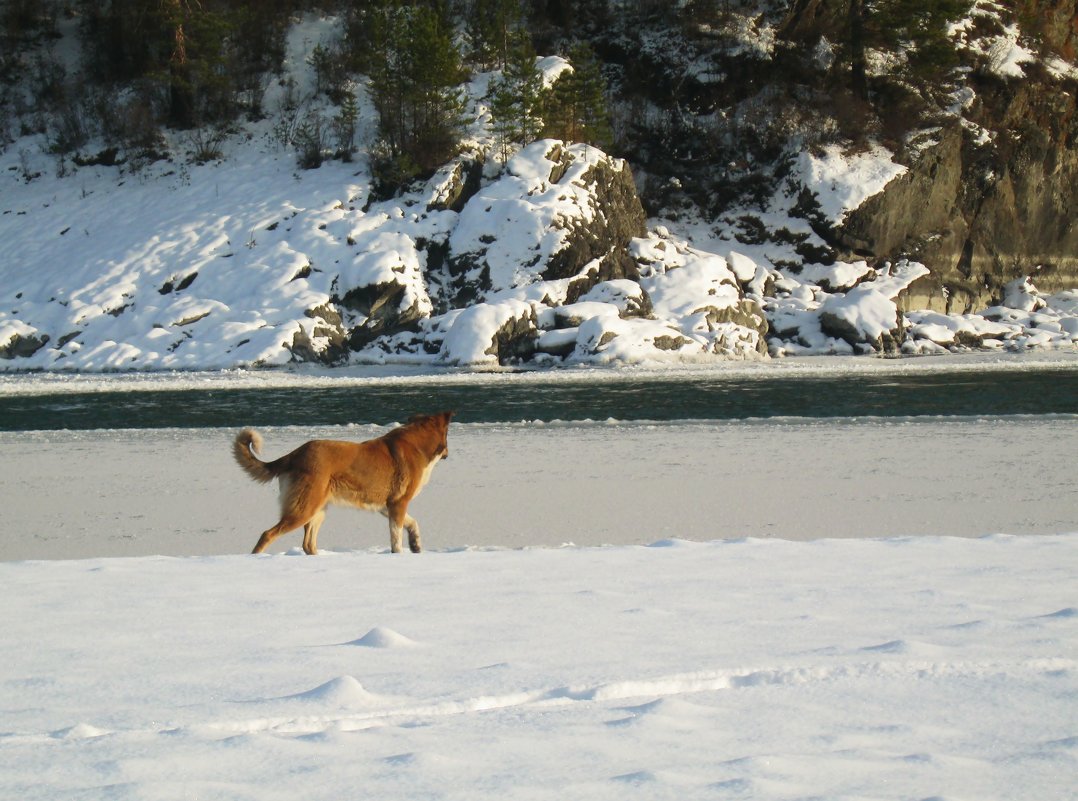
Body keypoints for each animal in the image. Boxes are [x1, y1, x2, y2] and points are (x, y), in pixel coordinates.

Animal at [233, 413, 452, 556]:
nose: (448, 454)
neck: (417, 444)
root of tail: (294, 454)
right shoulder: (398, 503)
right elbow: (396, 539)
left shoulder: (386, 506)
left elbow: (412, 523)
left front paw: (416, 545)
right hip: (303, 510)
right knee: (267, 535)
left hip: (317, 511)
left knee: (308, 544)